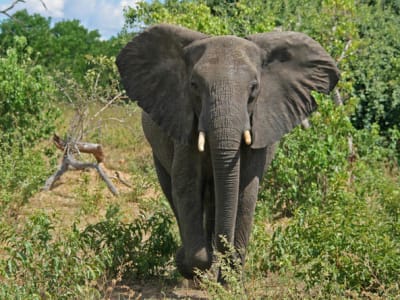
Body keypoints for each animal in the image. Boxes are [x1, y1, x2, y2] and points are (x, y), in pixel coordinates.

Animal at [116, 23, 340, 278]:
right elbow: (186, 185)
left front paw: (229, 276)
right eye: (194, 86)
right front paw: (192, 263)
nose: (226, 256)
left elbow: (245, 188)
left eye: (254, 89)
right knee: (172, 188)